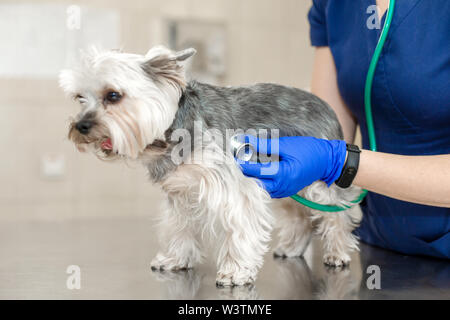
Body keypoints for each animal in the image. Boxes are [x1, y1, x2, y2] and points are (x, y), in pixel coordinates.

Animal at [59, 45, 362, 288]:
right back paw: (292, 247)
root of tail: (324, 104)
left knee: (336, 213)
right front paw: (175, 257)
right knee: (300, 215)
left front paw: (236, 272)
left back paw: (338, 252)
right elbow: (178, 226)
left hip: (319, 181)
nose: (81, 126)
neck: (169, 132)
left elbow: (240, 228)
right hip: (290, 180)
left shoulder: (236, 188)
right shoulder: (180, 191)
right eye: (80, 98)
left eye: (113, 95)